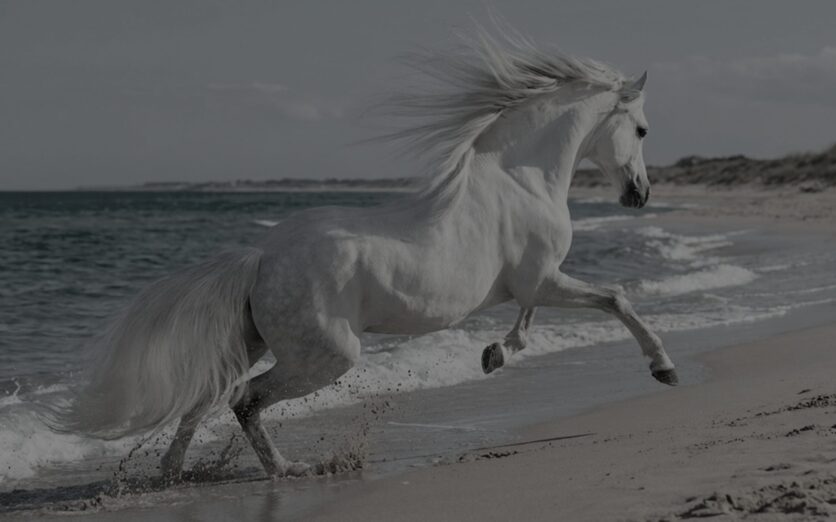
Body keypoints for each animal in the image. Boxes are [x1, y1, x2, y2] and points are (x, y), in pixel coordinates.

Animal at [50, 28, 677, 480]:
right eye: (643, 129)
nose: (640, 195)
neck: (519, 177)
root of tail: (261, 257)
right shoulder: (544, 277)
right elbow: (616, 298)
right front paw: (663, 367)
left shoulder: (533, 283)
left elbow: (532, 321)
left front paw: (495, 353)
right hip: (328, 354)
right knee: (244, 399)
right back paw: (289, 469)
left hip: (255, 341)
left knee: (207, 393)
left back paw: (175, 471)